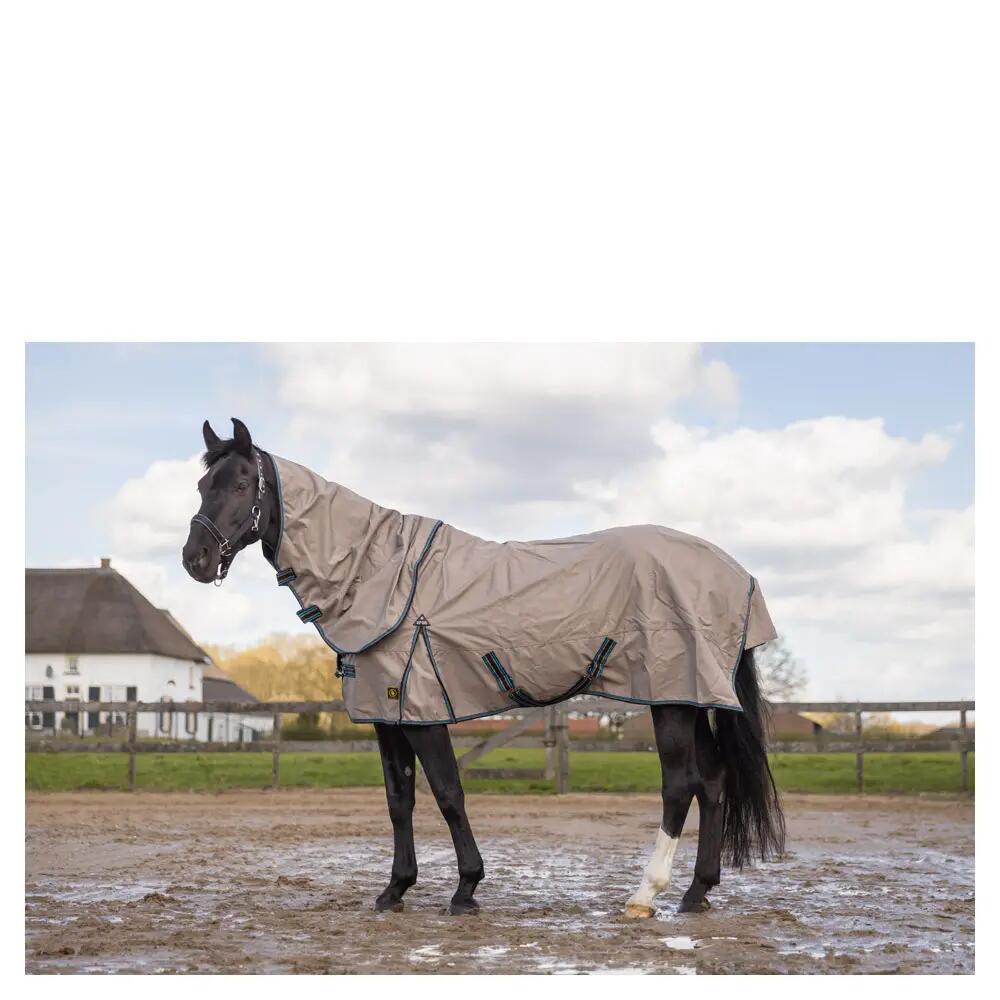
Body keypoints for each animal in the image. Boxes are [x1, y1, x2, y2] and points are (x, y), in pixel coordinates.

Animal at [183, 418, 785, 917]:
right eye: (202, 485)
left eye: (242, 484)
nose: (195, 560)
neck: (378, 572)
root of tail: (737, 574)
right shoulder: (387, 715)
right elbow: (399, 800)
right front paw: (395, 890)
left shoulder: (423, 713)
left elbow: (448, 794)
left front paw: (465, 888)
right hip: (689, 695)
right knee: (714, 781)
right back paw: (696, 893)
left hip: (670, 699)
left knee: (681, 785)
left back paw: (644, 896)